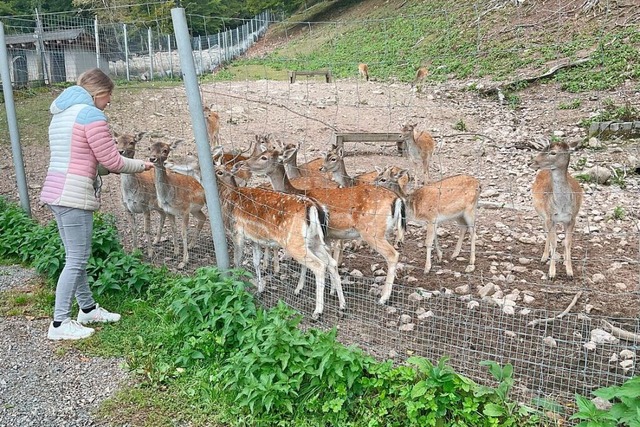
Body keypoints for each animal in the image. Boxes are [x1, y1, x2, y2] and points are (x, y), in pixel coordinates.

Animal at [148, 140, 206, 268]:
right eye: (149, 148)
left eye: (165, 150)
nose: (152, 158)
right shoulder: (169, 211)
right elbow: (174, 228)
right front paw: (175, 252)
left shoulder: (185, 209)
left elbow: (183, 232)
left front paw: (184, 261)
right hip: (195, 210)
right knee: (203, 218)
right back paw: (191, 244)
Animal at [214, 157, 344, 318]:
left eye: (220, 172)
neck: (229, 198)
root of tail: (314, 207)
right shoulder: (255, 239)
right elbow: (256, 262)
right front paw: (260, 290)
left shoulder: (237, 231)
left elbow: (237, 261)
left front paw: (235, 287)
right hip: (315, 241)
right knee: (331, 263)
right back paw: (342, 306)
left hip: (294, 242)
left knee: (319, 266)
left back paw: (317, 311)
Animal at [245, 144, 404, 308]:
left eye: (264, 157)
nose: (245, 163)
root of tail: (398, 199)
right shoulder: (326, 236)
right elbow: (328, 260)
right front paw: (332, 289)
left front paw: (300, 289)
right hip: (384, 231)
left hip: (371, 232)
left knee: (393, 255)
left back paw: (383, 298)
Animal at [528, 140, 584, 280]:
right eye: (543, 149)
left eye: (553, 152)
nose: (530, 162)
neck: (561, 205)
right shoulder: (550, 217)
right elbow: (554, 242)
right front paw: (551, 273)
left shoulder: (571, 218)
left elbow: (567, 242)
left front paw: (569, 272)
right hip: (542, 215)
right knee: (547, 233)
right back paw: (544, 257)